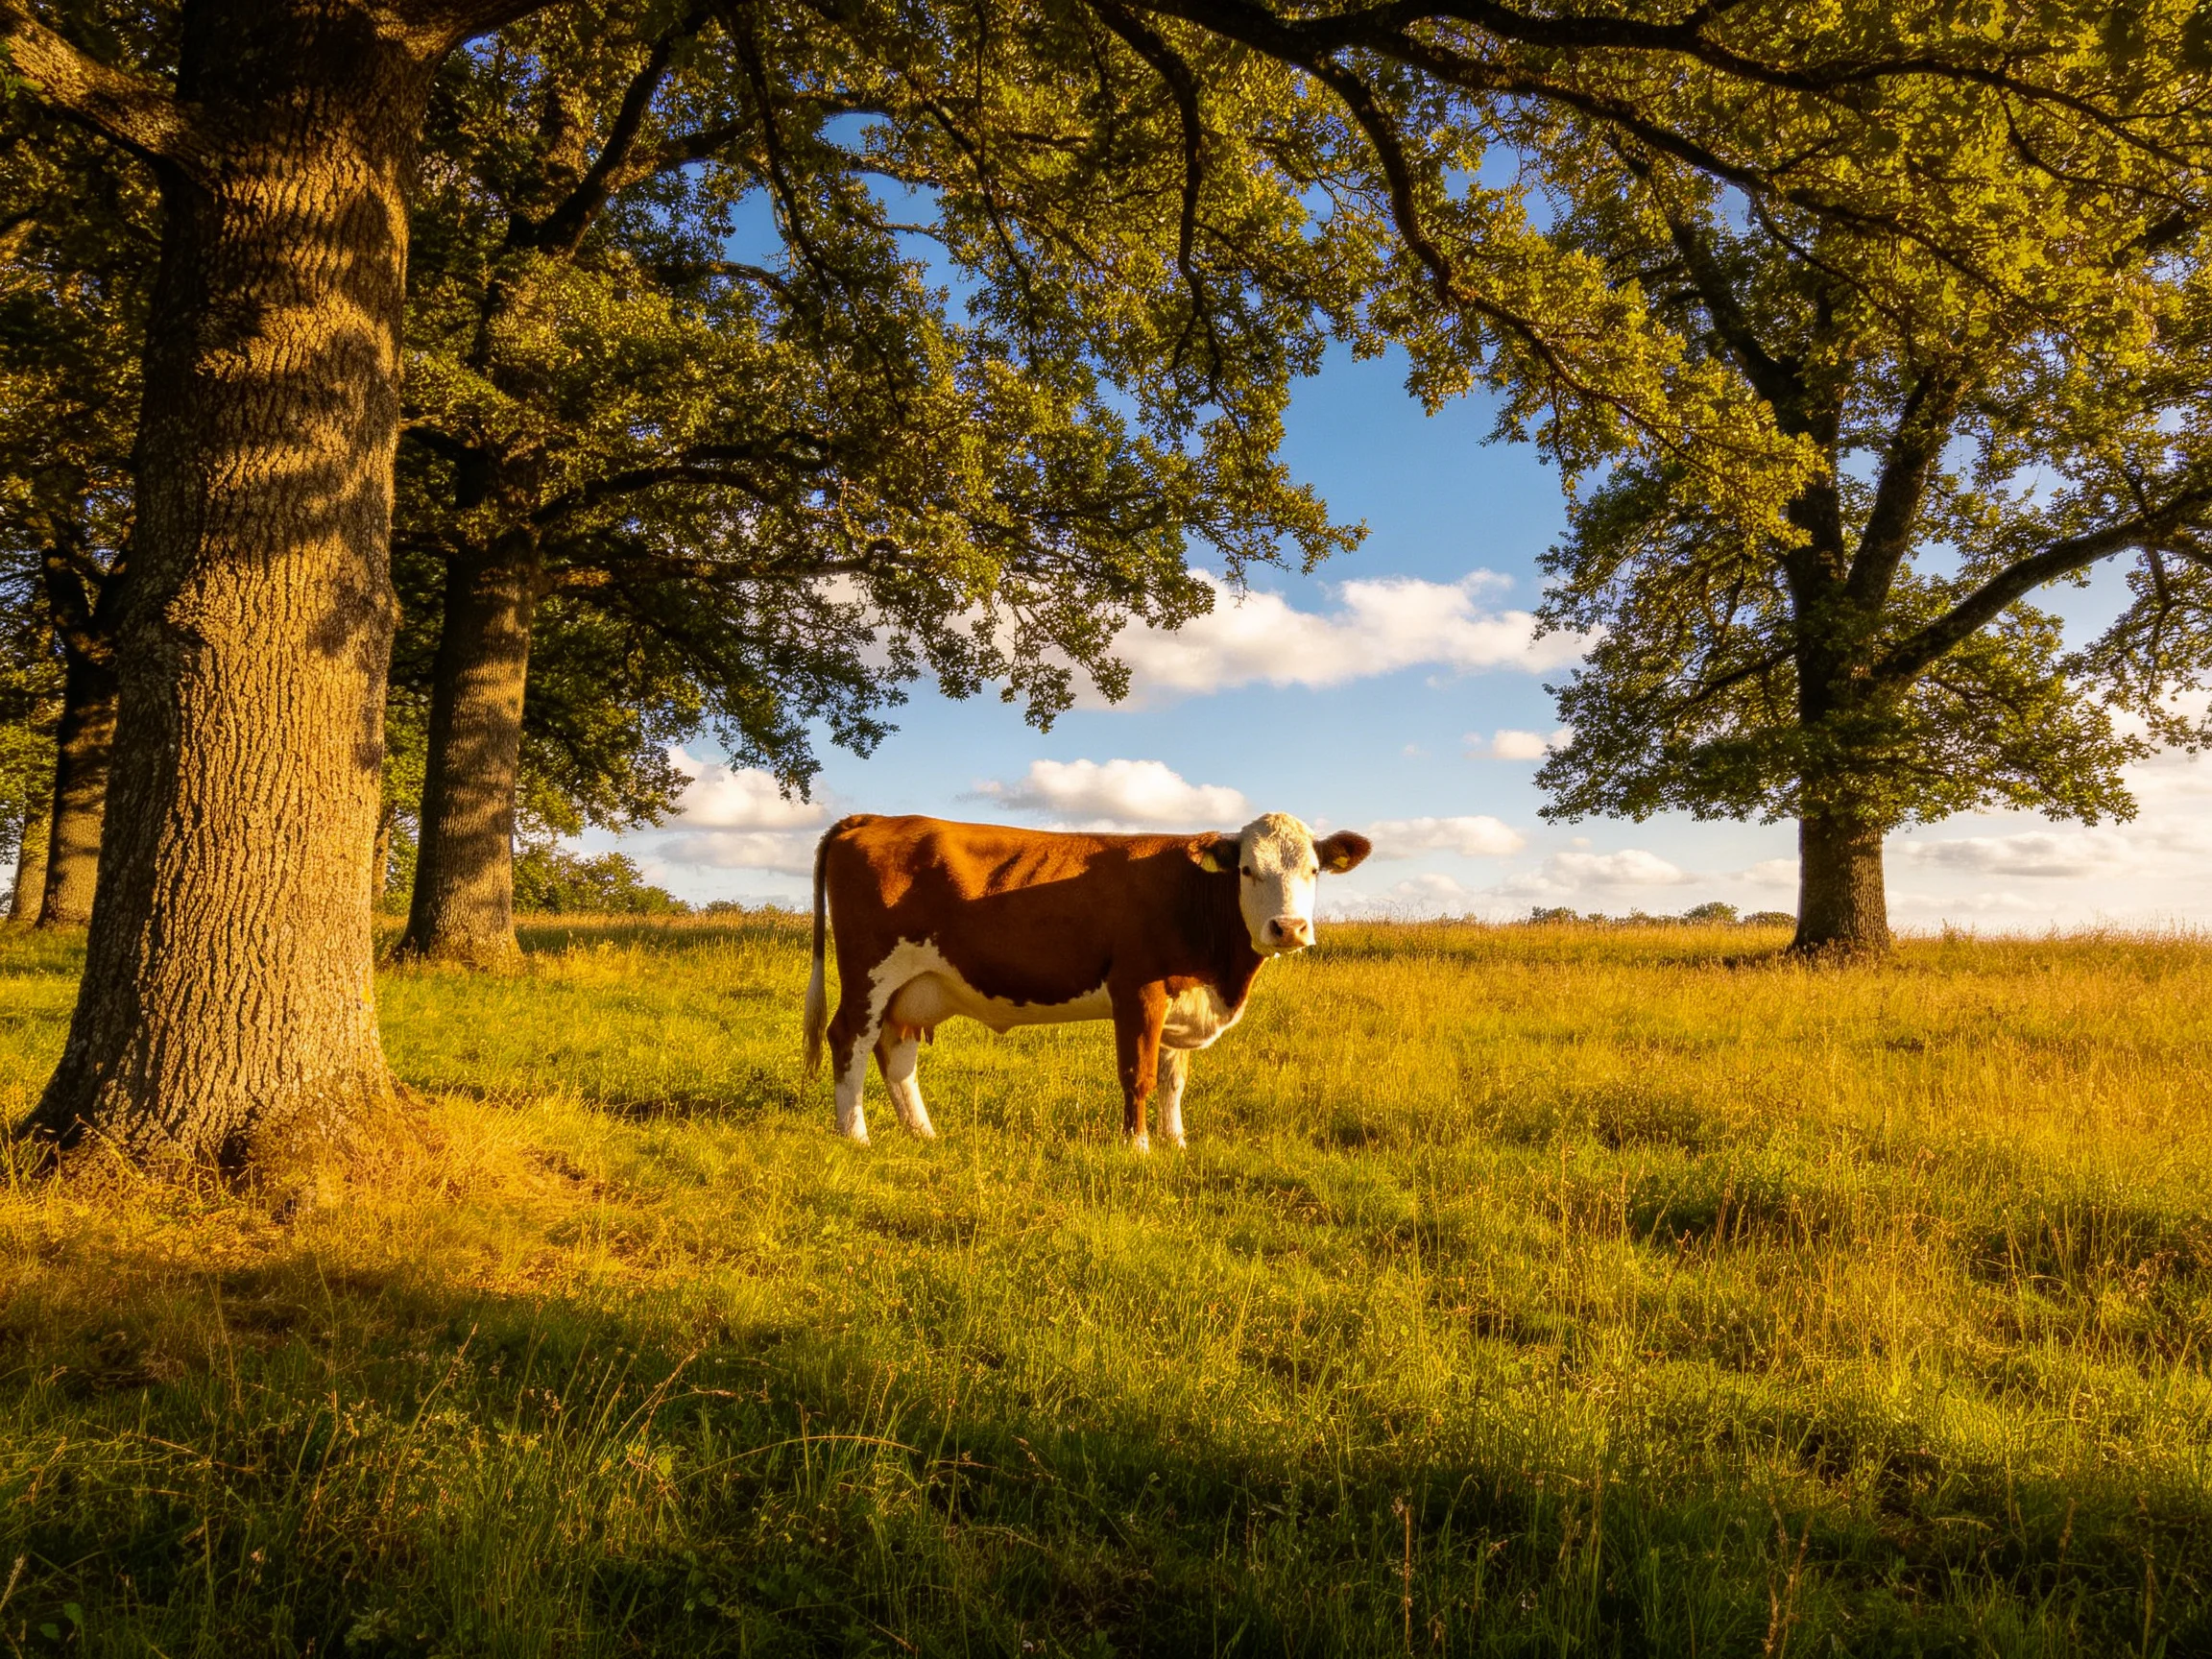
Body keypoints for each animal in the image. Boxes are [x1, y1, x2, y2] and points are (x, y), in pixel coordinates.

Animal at [802, 812, 1372, 1148]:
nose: (1289, 928)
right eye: (1248, 870)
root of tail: (877, 819)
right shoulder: (1138, 989)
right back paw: (855, 1136)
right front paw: (1138, 1149)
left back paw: (924, 1134)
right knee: (849, 1039)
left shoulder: (1182, 998)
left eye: (1314, 871)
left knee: (896, 1051)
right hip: (869, 971)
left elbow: (1173, 1080)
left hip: (912, 987)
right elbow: (1139, 1075)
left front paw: (1177, 1144)